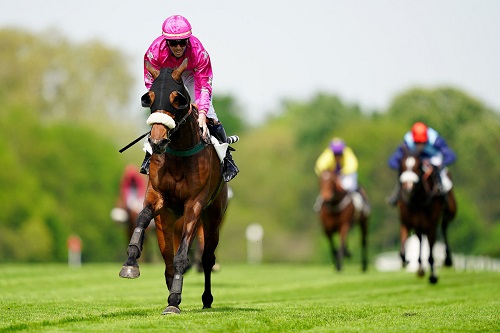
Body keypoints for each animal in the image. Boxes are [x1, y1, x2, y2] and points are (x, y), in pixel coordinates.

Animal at [119, 59, 229, 314]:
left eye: (177, 99)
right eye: (148, 98)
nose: (157, 141)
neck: (179, 154)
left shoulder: (194, 205)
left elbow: (183, 255)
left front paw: (175, 299)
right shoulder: (157, 197)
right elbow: (142, 218)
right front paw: (130, 263)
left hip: (213, 216)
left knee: (207, 258)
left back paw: (205, 298)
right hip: (165, 222)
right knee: (167, 258)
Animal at [398, 150, 458, 282]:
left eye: (417, 167)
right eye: (402, 165)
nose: (408, 187)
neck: (418, 201)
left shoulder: (431, 225)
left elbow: (431, 253)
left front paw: (433, 277)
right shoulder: (406, 222)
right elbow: (402, 252)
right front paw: (407, 260)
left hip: (450, 212)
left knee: (444, 228)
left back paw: (447, 260)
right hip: (419, 225)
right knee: (420, 238)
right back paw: (420, 268)